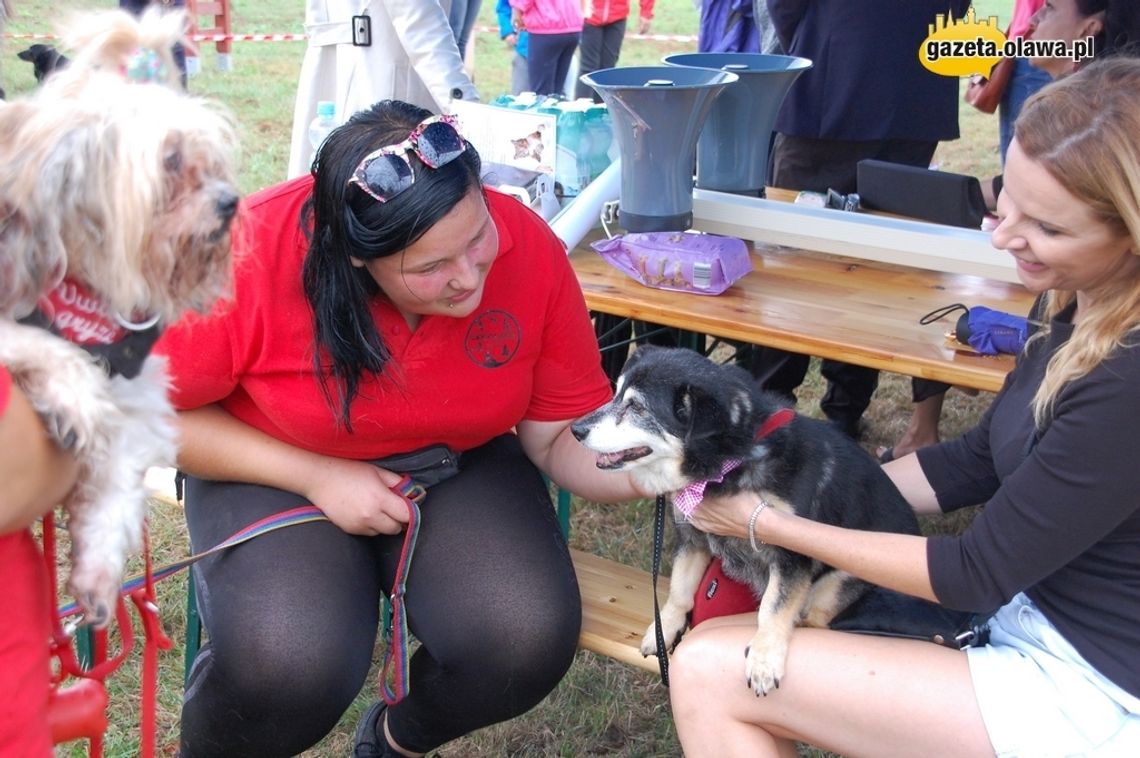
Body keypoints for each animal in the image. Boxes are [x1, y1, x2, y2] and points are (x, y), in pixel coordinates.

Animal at [574, 346, 921, 693]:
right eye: (616, 393)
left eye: (636, 407)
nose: (576, 430)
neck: (732, 461)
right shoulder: (692, 538)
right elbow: (679, 589)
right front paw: (665, 628)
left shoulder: (791, 556)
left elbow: (773, 607)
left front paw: (765, 659)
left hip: (835, 584)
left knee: (815, 617)